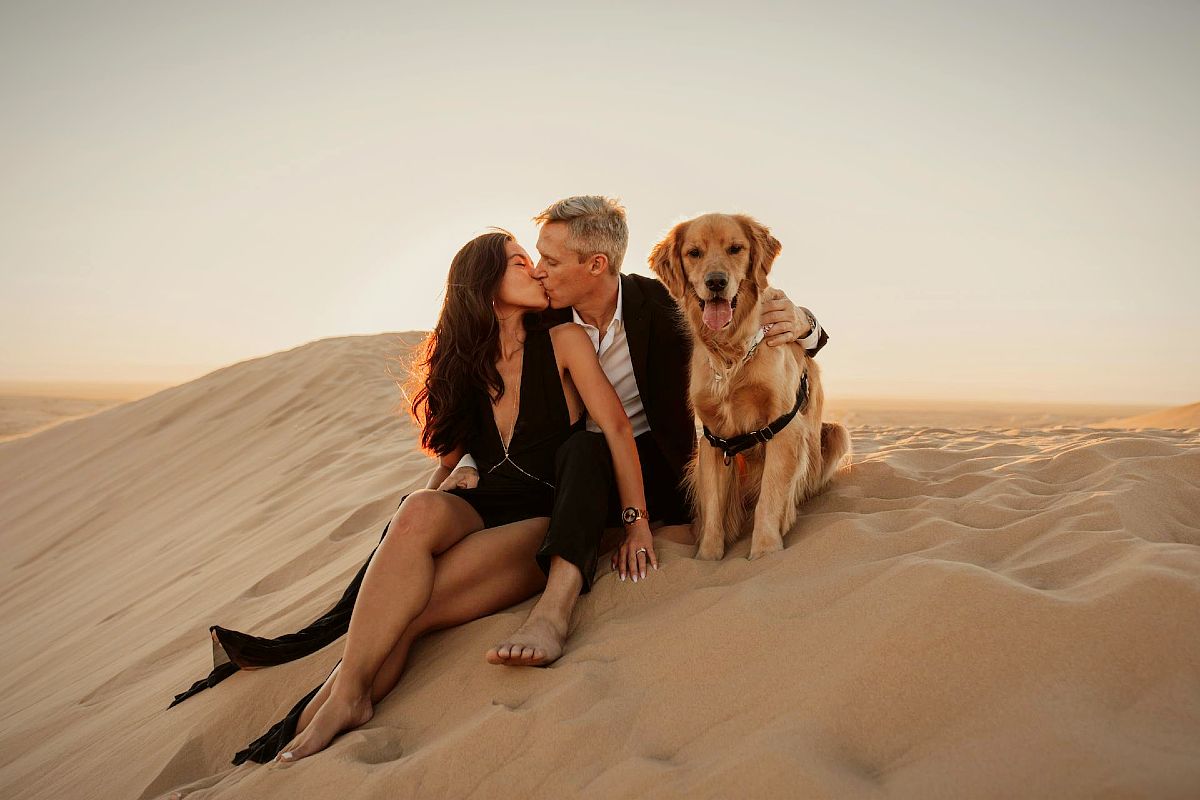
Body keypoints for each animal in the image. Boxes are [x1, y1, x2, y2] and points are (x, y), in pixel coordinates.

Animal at [648, 214, 854, 563]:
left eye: (735, 249)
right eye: (694, 253)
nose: (716, 282)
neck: (732, 356)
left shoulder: (782, 428)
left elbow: (768, 500)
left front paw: (765, 551)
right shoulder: (713, 438)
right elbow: (714, 509)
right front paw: (708, 558)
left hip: (836, 433)